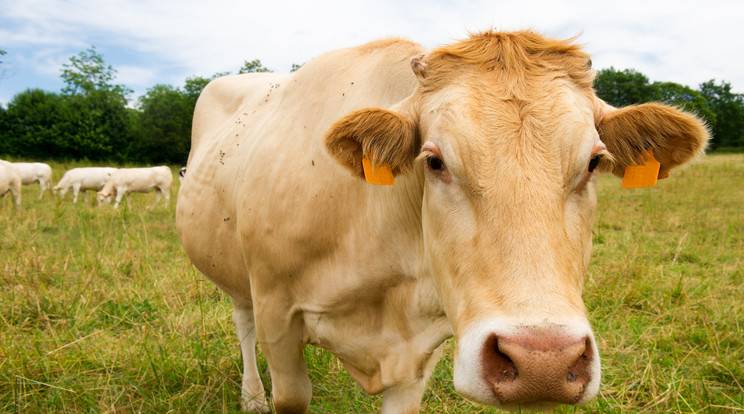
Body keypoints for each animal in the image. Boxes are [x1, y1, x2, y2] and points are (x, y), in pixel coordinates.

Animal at [176, 30, 708, 412]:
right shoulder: (278, 316)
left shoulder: (420, 352)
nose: (543, 362)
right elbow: (287, 389)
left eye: (595, 161)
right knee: (242, 323)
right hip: (238, 278)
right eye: (434, 161)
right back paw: (251, 396)